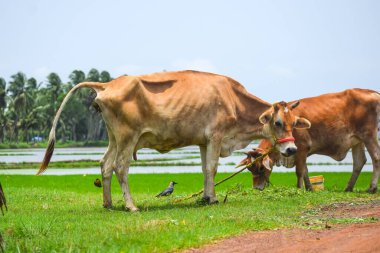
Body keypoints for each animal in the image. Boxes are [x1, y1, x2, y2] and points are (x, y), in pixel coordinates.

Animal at [37, 70, 312, 211]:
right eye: (278, 122)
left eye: (293, 122)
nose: (291, 148)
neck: (233, 100)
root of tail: (108, 84)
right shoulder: (216, 136)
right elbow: (213, 167)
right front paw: (213, 199)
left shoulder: (203, 141)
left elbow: (204, 169)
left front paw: (206, 197)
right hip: (127, 138)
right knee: (120, 167)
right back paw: (131, 206)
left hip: (114, 138)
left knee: (105, 165)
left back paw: (109, 204)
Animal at [240, 88, 380, 192]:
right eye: (250, 169)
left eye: (261, 168)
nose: (257, 188)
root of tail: (373, 92)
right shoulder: (300, 152)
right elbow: (306, 171)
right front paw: (309, 188)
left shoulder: (301, 148)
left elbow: (300, 171)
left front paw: (298, 189)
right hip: (358, 140)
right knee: (359, 161)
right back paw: (348, 188)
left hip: (369, 135)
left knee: (376, 157)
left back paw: (372, 188)